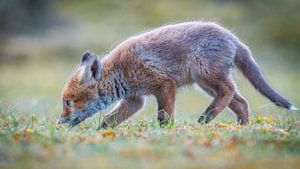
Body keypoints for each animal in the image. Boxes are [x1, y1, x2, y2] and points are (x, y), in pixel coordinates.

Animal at [56, 21, 298, 127]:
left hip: (204, 75)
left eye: (68, 102)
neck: (120, 71)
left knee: (229, 91)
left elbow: (164, 117)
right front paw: (100, 134)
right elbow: (109, 121)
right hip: (206, 84)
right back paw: (241, 127)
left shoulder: (164, 86)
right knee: (241, 101)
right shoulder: (135, 99)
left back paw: (207, 117)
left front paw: (166, 133)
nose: (59, 123)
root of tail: (233, 37)